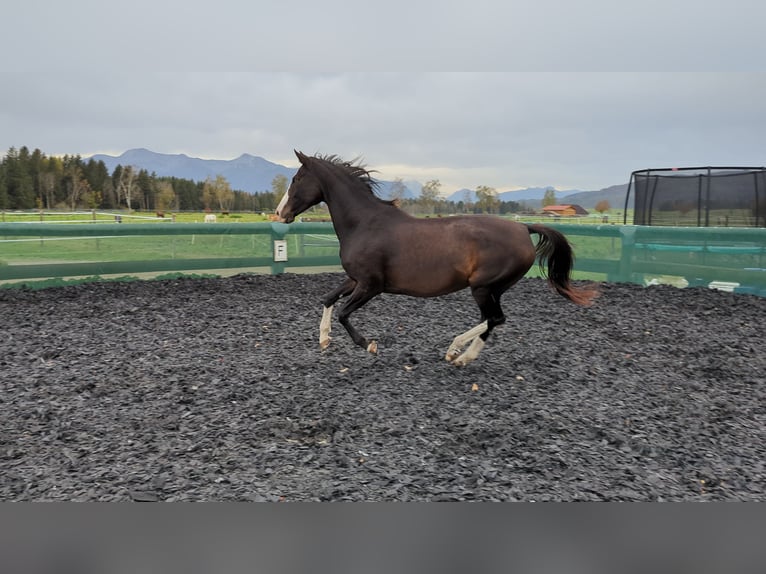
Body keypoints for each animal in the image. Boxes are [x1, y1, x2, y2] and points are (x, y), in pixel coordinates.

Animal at [276, 150, 598, 366]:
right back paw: (460, 355)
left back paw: (457, 351)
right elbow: (328, 299)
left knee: (495, 318)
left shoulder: (371, 285)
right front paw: (324, 339)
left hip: (483, 287)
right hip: (492, 289)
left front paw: (369, 345)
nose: (280, 213)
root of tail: (523, 227)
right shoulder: (356, 279)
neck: (364, 223)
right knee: (491, 320)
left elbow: (344, 312)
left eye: (297, 178)